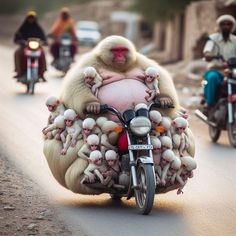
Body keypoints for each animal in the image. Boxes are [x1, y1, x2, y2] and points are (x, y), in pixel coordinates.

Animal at [43, 34, 195, 194]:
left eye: (123, 50)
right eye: (116, 51)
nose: (121, 56)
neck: (119, 67)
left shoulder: (140, 60)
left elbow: (160, 75)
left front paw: (165, 99)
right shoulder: (90, 62)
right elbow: (76, 81)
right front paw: (92, 105)